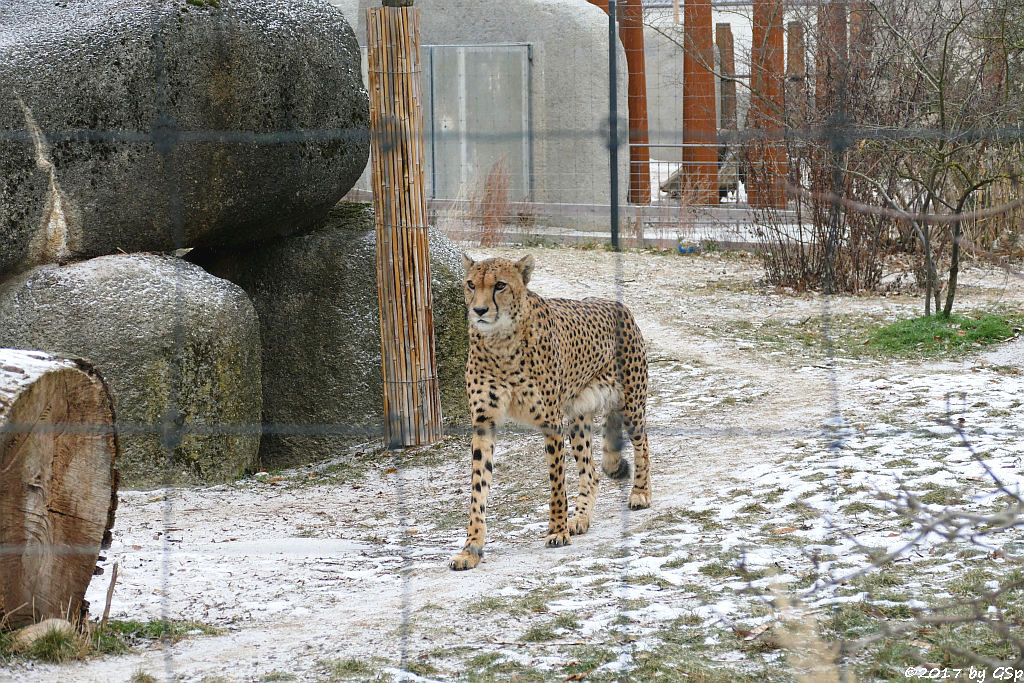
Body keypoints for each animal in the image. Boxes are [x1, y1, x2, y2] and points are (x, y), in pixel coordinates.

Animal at [448, 253, 647, 569]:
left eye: (500, 285)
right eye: (471, 284)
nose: (479, 310)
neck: (500, 341)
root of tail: (616, 303)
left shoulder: (550, 421)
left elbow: (556, 481)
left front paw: (557, 530)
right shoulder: (483, 422)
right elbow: (478, 488)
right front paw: (471, 548)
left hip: (631, 403)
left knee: (643, 444)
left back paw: (640, 493)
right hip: (578, 417)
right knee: (590, 472)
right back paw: (580, 518)